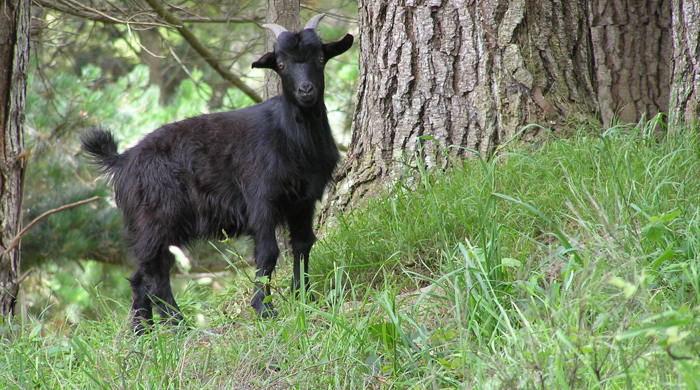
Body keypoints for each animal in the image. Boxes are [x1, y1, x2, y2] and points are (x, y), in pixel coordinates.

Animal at [82, 16, 352, 332]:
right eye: (282, 64)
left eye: (320, 58)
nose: (306, 91)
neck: (292, 137)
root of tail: (121, 160)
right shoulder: (262, 200)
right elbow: (268, 252)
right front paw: (264, 309)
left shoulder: (303, 201)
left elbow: (303, 244)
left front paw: (304, 298)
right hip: (156, 219)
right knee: (155, 274)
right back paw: (178, 324)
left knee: (141, 276)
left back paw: (144, 332)